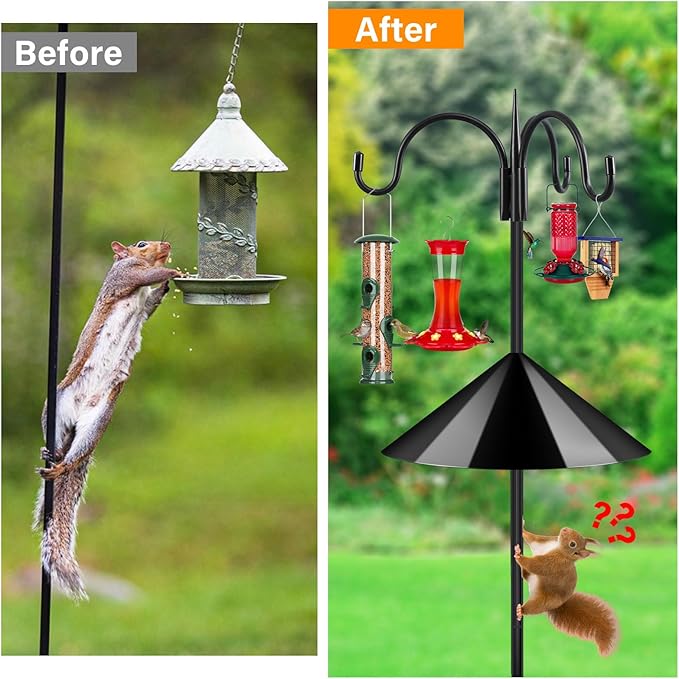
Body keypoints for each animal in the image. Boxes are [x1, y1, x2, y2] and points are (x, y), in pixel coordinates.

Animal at [32, 240, 181, 600]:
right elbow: (144, 277)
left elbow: (150, 303)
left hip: (99, 419)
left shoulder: (144, 306)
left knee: (75, 454)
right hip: (55, 404)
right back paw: (51, 456)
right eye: (141, 244)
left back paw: (61, 464)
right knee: (57, 439)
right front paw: (171, 272)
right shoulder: (124, 277)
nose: (167, 245)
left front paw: (165, 286)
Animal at [514, 524, 619, 656]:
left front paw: (519, 557)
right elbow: (533, 538)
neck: (558, 547)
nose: (565, 529)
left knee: (532, 607)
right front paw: (523, 529)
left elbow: (538, 565)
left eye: (572, 544)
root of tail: (558, 605)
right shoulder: (545, 542)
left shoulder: (555, 563)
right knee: (527, 575)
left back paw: (521, 610)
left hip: (544, 600)